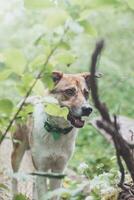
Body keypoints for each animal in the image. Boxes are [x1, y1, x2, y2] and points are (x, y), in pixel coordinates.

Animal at [11, 72, 92, 200]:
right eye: (70, 91)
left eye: (86, 93)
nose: (88, 109)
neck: (57, 131)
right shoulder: (41, 168)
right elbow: (43, 193)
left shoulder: (58, 170)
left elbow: (53, 193)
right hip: (17, 152)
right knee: (14, 176)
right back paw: (15, 194)